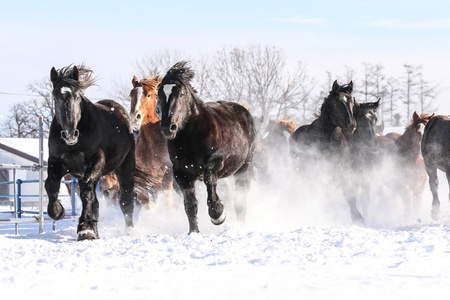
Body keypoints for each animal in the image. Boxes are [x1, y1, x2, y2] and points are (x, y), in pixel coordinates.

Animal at [46, 64, 154, 240]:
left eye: (78, 97)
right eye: (55, 98)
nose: (70, 134)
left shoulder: (96, 162)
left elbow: (87, 194)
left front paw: (85, 230)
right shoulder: (57, 162)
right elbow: (51, 185)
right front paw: (57, 212)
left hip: (124, 168)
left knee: (126, 200)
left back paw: (129, 230)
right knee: (94, 200)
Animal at [130, 74, 176, 209]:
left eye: (148, 95)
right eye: (131, 94)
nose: (135, 117)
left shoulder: (168, 172)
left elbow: (168, 202)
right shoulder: (145, 177)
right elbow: (146, 202)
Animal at [157, 61, 256, 234]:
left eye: (180, 94)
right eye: (159, 95)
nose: (168, 127)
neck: (191, 137)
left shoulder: (217, 160)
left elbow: (209, 178)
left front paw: (217, 214)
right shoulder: (181, 173)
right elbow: (190, 204)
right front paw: (193, 232)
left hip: (243, 168)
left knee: (240, 199)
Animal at [290, 81, 364, 221]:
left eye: (352, 102)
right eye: (336, 103)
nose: (351, 126)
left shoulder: (343, 168)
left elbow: (348, 192)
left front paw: (358, 217)